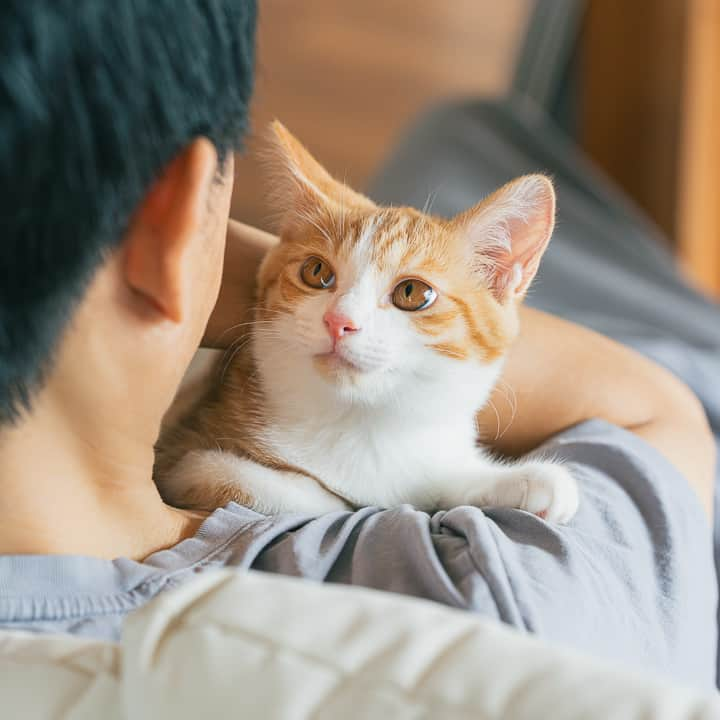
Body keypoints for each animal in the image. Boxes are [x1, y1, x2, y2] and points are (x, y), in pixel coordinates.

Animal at [156, 119, 580, 524]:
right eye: (316, 272)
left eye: (412, 293)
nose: (338, 321)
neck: (363, 425)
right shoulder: (181, 450)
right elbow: (238, 477)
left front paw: (524, 480)